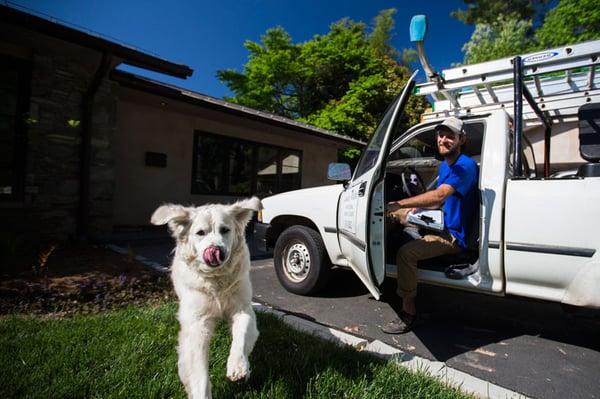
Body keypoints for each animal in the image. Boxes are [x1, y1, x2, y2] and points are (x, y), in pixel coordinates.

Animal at [151, 198, 262, 399]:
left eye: (225, 230)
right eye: (200, 233)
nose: (216, 250)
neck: (216, 281)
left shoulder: (242, 309)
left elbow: (241, 337)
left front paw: (238, 366)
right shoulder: (197, 325)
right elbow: (198, 373)